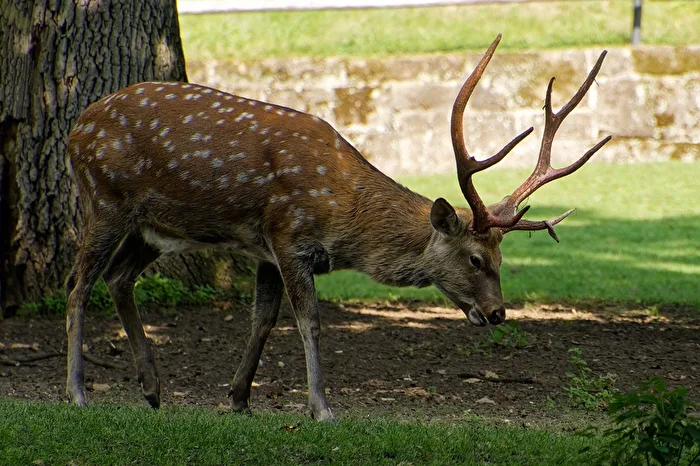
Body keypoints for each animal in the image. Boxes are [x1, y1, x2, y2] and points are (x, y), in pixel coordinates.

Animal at [64, 34, 610, 421]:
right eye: (476, 258)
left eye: (502, 258)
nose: (498, 313)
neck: (344, 212)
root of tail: (74, 128)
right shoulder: (288, 234)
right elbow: (308, 320)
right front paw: (321, 408)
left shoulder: (265, 249)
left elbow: (262, 319)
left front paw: (238, 399)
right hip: (103, 198)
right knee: (78, 284)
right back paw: (77, 393)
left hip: (151, 228)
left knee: (118, 278)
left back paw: (152, 389)